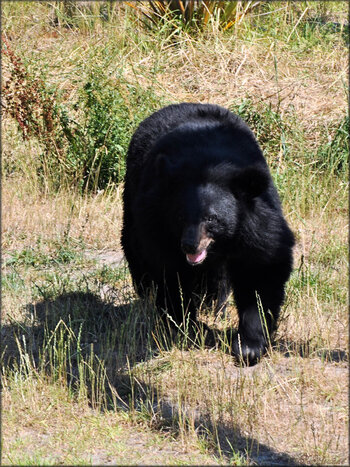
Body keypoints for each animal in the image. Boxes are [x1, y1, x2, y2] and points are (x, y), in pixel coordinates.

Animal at [121, 103, 294, 366]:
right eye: (180, 216)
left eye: (212, 219)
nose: (190, 245)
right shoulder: (157, 221)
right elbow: (167, 270)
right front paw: (183, 324)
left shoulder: (255, 223)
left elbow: (261, 268)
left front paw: (249, 346)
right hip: (132, 196)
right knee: (134, 247)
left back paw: (214, 306)